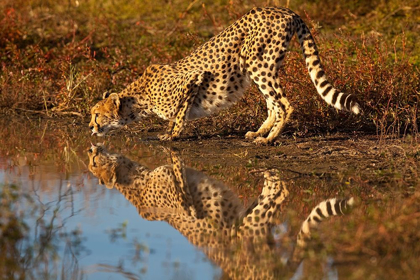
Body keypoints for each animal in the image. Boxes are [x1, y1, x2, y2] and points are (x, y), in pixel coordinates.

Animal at [89, 6, 360, 144]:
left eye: (96, 114)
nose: (90, 127)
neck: (139, 100)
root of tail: (285, 10)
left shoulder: (193, 81)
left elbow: (179, 114)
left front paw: (171, 135)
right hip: (262, 65)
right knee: (273, 103)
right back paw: (259, 133)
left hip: (257, 62)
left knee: (284, 104)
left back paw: (269, 139)